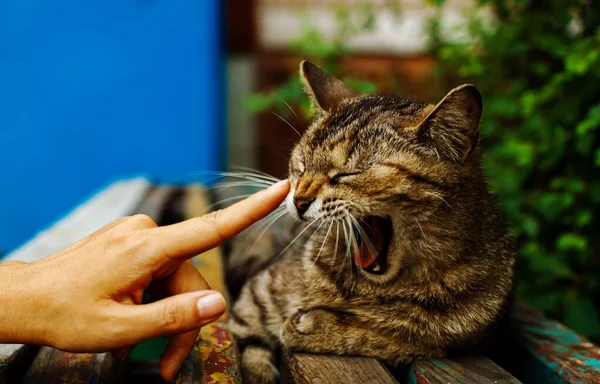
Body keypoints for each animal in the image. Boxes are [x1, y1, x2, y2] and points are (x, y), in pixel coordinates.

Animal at [224, 61, 516, 382]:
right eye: (301, 166)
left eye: (348, 174)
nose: (299, 200)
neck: (372, 289)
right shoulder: (254, 299)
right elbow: (251, 354)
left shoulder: (464, 339)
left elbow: (395, 335)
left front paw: (316, 325)